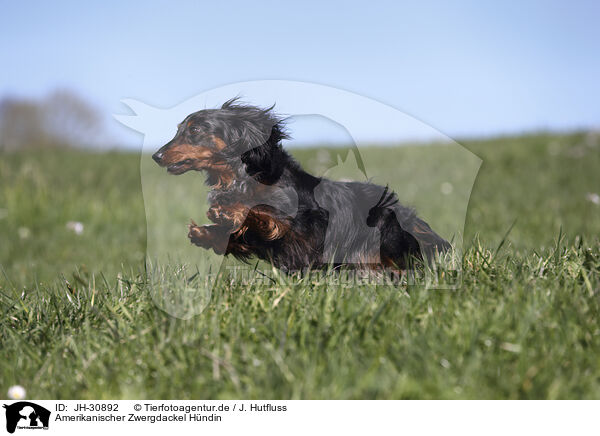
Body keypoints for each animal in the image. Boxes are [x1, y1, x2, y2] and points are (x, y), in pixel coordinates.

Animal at [152, 100, 448, 274]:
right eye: (179, 130)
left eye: (195, 131)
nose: (156, 156)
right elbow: (235, 235)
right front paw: (204, 231)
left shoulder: (305, 227)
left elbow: (265, 213)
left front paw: (227, 212)